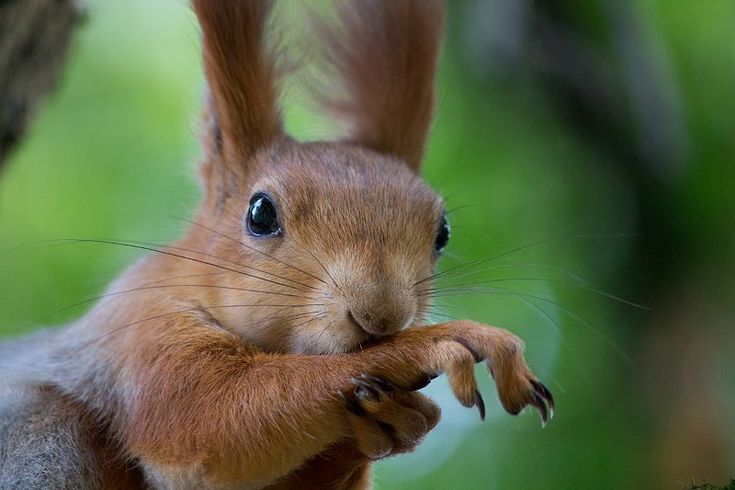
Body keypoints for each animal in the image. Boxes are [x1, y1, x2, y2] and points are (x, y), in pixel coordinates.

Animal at [0, 1, 552, 488]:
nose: (382, 315)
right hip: (45, 432)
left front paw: (379, 429)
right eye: (260, 213)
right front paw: (435, 342)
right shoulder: (137, 336)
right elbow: (206, 414)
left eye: (443, 232)